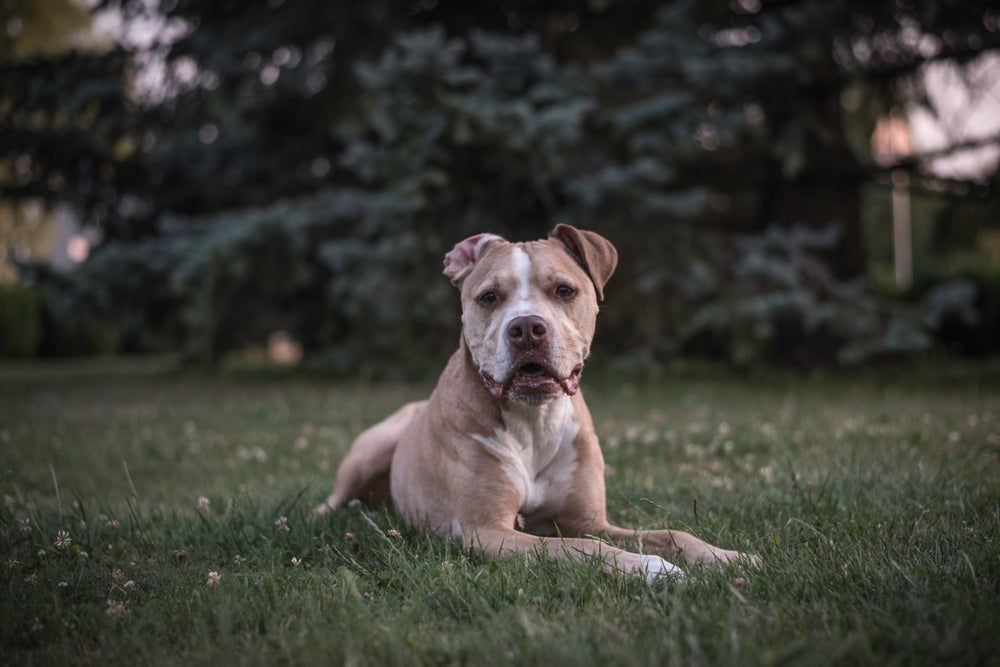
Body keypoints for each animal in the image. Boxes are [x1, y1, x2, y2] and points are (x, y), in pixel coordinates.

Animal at [316, 224, 752, 580]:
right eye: (489, 297)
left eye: (564, 290)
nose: (527, 328)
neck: (534, 419)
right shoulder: (489, 531)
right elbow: (581, 547)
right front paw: (651, 568)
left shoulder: (589, 519)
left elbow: (671, 533)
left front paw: (728, 557)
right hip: (372, 448)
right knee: (335, 498)